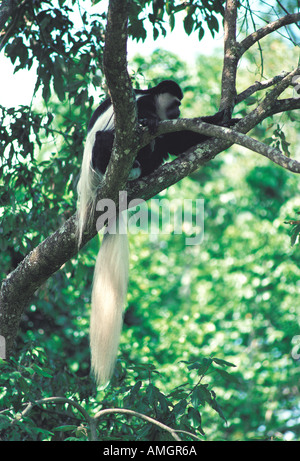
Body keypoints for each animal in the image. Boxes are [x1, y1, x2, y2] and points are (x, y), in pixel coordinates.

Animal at [77, 80, 232, 384]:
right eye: (175, 104)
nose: (180, 110)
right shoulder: (143, 106)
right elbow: (148, 126)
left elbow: (179, 137)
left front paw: (222, 119)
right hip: (100, 163)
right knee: (106, 139)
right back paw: (131, 168)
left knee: (160, 144)